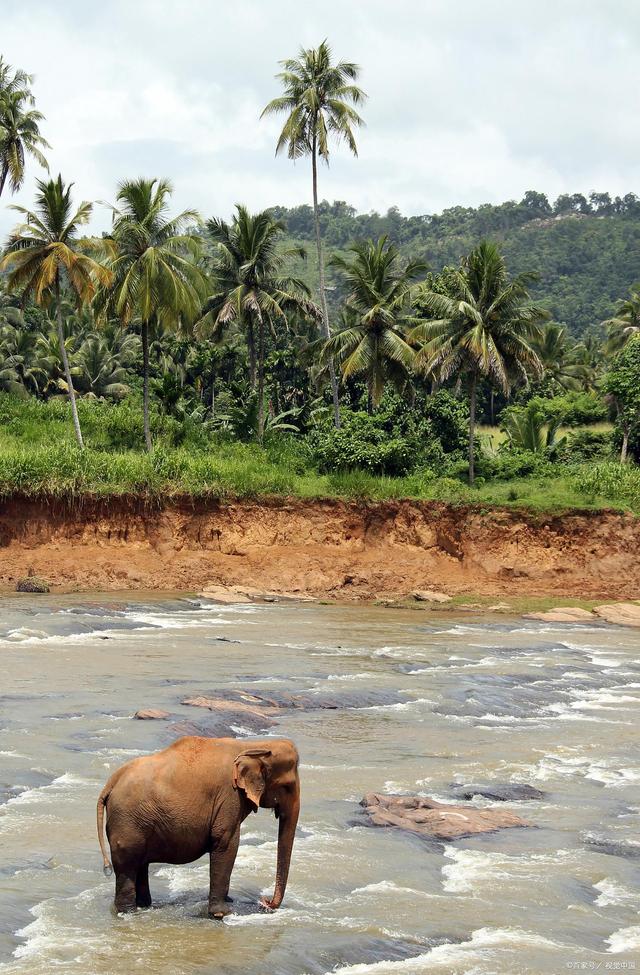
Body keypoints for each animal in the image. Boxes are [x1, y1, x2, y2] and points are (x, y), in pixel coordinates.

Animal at [96, 736, 302, 920]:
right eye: (287, 787)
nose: (265, 902)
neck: (251, 745)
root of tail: (110, 784)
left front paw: (229, 902)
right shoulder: (229, 797)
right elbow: (227, 843)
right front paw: (223, 914)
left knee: (140, 864)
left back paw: (144, 906)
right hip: (127, 823)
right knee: (128, 865)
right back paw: (128, 913)